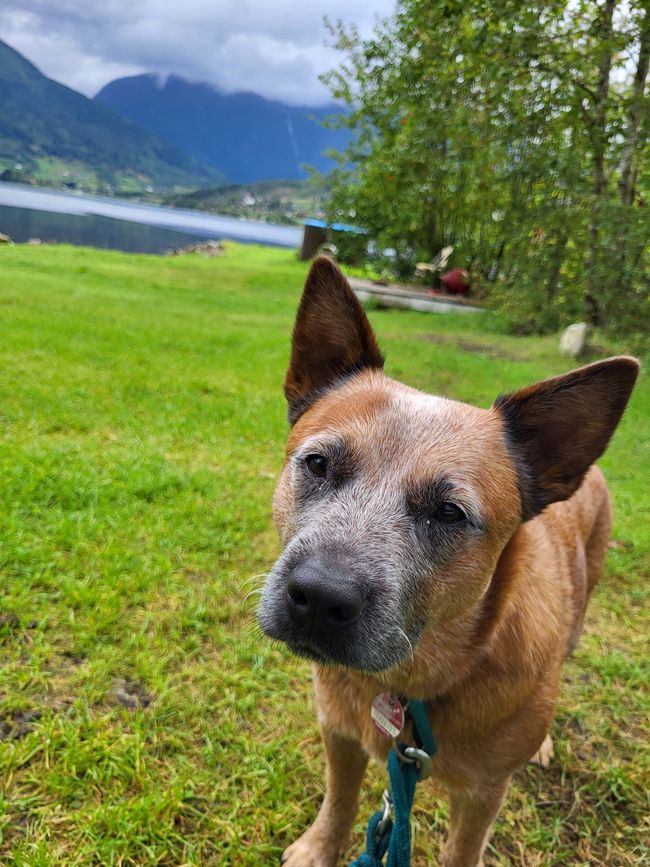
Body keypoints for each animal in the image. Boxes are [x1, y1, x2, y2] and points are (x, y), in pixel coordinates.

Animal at [256, 258, 632, 867]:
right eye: (317, 463)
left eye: (449, 512)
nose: (318, 597)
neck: (411, 687)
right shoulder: (339, 732)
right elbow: (340, 799)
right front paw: (320, 848)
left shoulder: (482, 793)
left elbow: (462, 850)